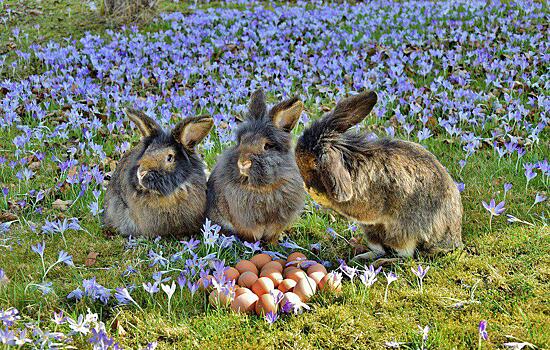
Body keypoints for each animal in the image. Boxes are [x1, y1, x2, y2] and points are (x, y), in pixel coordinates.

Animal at [209, 89, 308, 243]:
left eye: (266, 146)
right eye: (241, 141)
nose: (243, 162)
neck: (262, 188)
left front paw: (273, 244)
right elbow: (252, 234)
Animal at [296, 90, 464, 260]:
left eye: (314, 164)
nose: (307, 186)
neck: (349, 161)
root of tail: (452, 241)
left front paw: (317, 195)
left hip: (402, 232)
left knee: (403, 254)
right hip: (372, 231)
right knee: (379, 248)